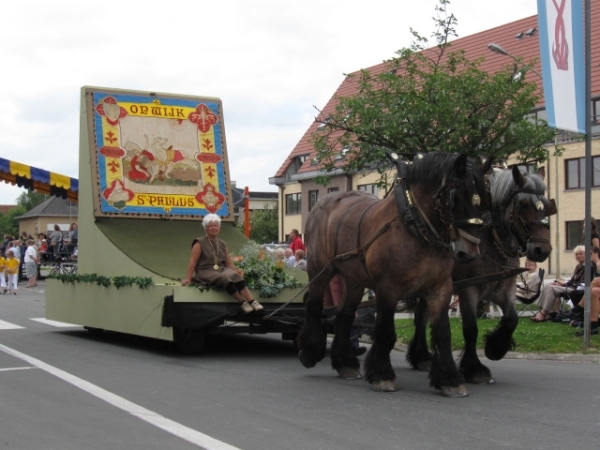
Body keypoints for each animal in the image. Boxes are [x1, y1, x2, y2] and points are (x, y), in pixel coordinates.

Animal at [296, 154, 492, 398]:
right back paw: (310, 352)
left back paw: (346, 363)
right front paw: (382, 375)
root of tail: (322, 202)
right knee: (314, 305)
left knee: (344, 315)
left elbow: (442, 332)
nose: (469, 252)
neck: (414, 226)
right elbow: (385, 331)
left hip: (355, 280)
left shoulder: (440, 288)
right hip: (320, 269)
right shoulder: (387, 289)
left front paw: (450, 379)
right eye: (456, 197)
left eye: (483, 198)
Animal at [408, 167, 552, 384]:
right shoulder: (469, 289)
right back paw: (422, 356)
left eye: (546, 205)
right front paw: (474, 368)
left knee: (422, 317)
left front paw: (496, 347)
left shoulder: (505, 288)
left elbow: (512, 318)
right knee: (421, 317)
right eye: (524, 204)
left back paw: (422, 357)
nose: (541, 250)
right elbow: (470, 328)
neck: (491, 240)